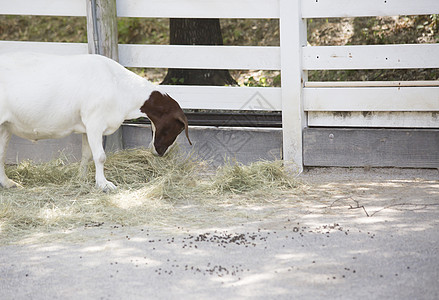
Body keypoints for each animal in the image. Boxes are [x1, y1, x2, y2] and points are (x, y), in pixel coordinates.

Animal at [0, 52, 192, 191]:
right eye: (177, 129)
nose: (160, 152)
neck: (119, 86)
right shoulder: (95, 122)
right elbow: (100, 156)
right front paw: (104, 184)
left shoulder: (87, 127)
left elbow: (86, 154)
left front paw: (81, 177)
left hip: (5, 127)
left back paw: (8, 183)